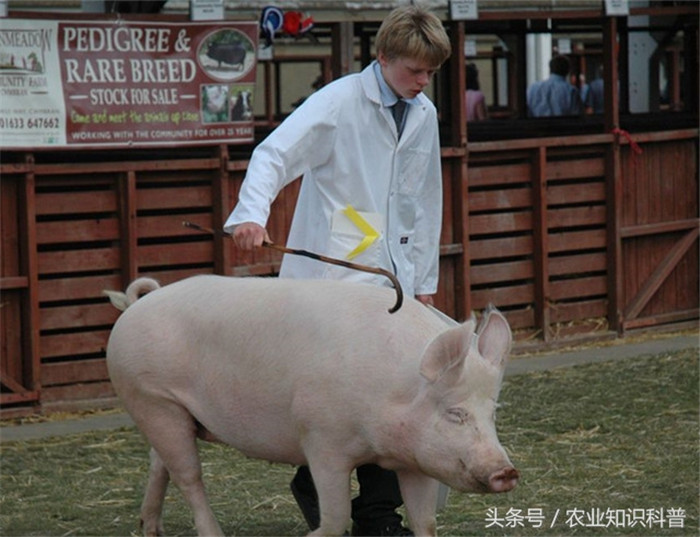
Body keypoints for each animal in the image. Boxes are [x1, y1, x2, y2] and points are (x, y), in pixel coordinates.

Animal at [105, 276, 520, 536]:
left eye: (493, 412)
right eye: (455, 413)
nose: (507, 472)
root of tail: (137, 304)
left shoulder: (415, 460)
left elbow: (426, 523)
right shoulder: (322, 441)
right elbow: (336, 519)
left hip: (169, 410)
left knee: (159, 463)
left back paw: (151, 529)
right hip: (152, 396)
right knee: (189, 476)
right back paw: (211, 533)